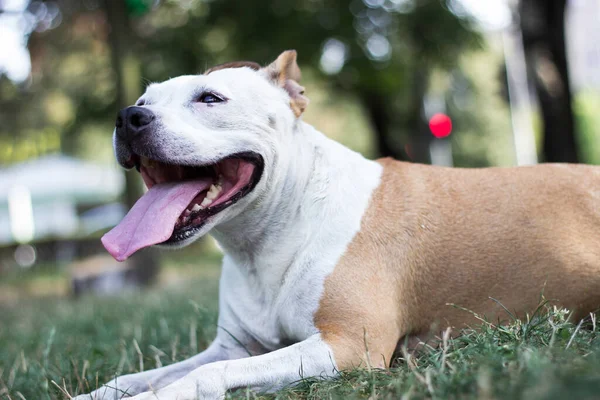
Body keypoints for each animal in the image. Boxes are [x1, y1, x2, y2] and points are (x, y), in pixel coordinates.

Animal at [75, 51, 600, 398]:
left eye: (210, 98)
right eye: (144, 98)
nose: (129, 115)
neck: (266, 242)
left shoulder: (348, 345)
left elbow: (200, 377)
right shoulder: (234, 347)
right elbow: (131, 377)